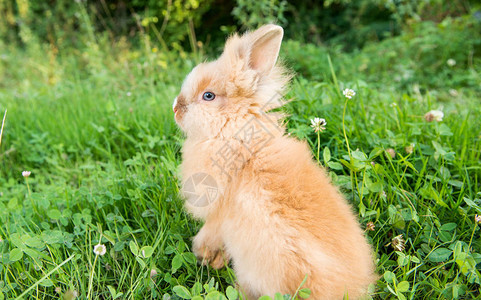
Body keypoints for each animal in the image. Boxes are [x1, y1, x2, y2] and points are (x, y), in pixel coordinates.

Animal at [174, 24, 376, 298]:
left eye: (208, 96)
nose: (176, 108)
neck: (237, 138)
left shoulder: (217, 212)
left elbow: (209, 235)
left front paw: (203, 255)